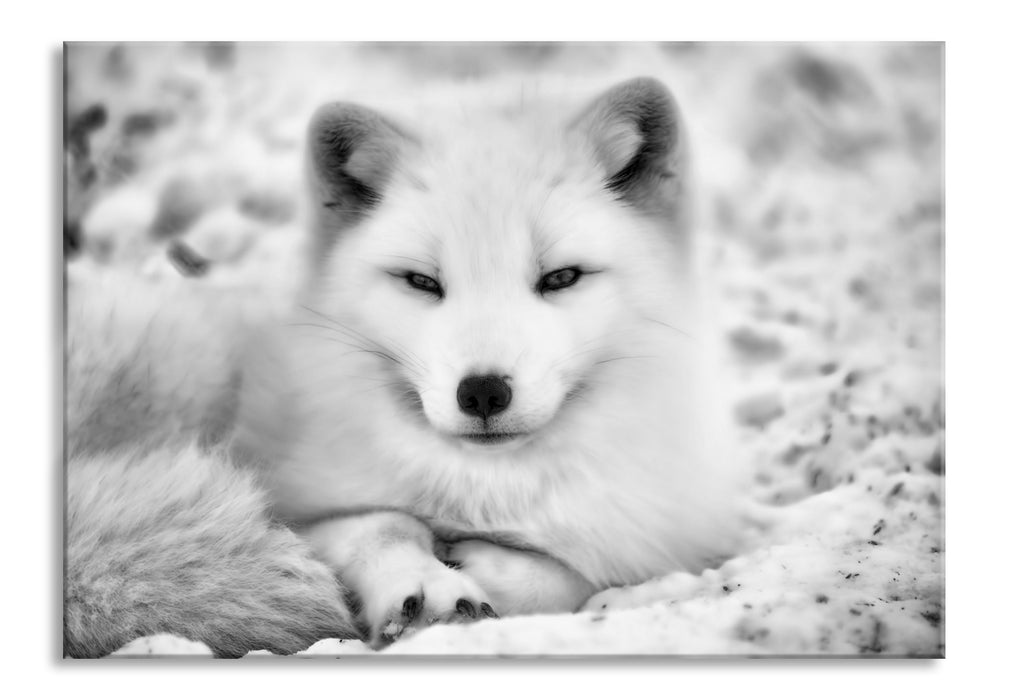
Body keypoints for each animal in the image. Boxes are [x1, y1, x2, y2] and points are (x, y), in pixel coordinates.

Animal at [232, 76, 752, 646]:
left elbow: (574, 574)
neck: (490, 487)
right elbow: (382, 524)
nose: (482, 391)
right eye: (421, 281)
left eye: (561, 277)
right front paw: (426, 584)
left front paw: (493, 572)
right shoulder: (294, 505)